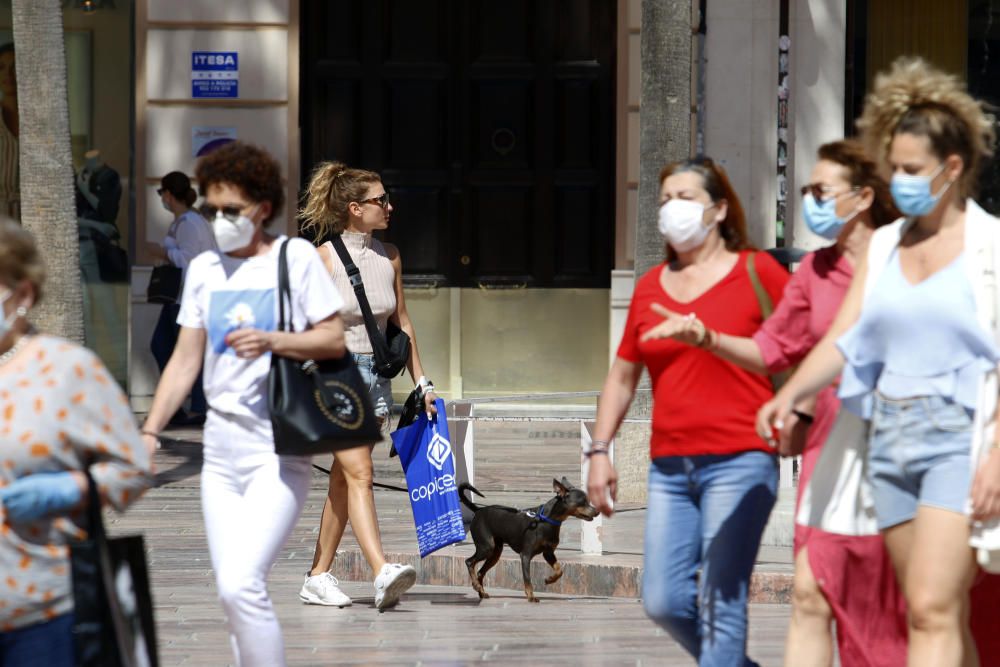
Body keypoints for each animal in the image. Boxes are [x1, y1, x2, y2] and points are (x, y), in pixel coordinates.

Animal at [458, 478, 592, 604]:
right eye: (583, 502)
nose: (596, 511)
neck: (546, 520)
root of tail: (478, 510)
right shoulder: (526, 555)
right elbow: (527, 578)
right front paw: (531, 596)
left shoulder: (548, 553)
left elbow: (559, 570)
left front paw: (549, 580)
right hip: (486, 548)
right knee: (469, 562)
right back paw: (476, 585)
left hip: (495, 553)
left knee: (480, 572)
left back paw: (481, 591)